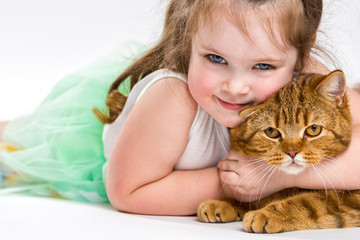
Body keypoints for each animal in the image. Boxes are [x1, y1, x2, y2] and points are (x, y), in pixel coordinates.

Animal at [198, 70, 360, 233]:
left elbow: (309, 202)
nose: (292, 152)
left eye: (314, 129)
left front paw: (267, 213)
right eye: (271, 132)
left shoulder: (349, 198)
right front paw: (224, 203)